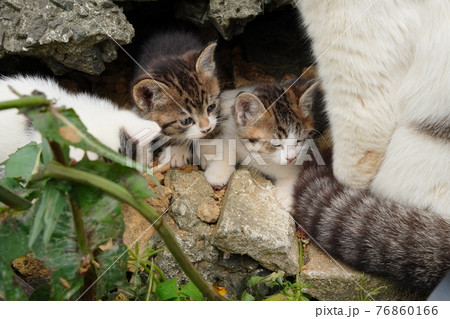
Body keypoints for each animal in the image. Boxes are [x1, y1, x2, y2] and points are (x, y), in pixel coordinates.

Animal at [204, 80, 320, 210]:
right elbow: (227, 144)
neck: (261, 155)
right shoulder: (232, 128)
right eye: (276, 144)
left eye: (299, 141)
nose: (291, 158)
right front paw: (217, 172)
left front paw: (287, 196)